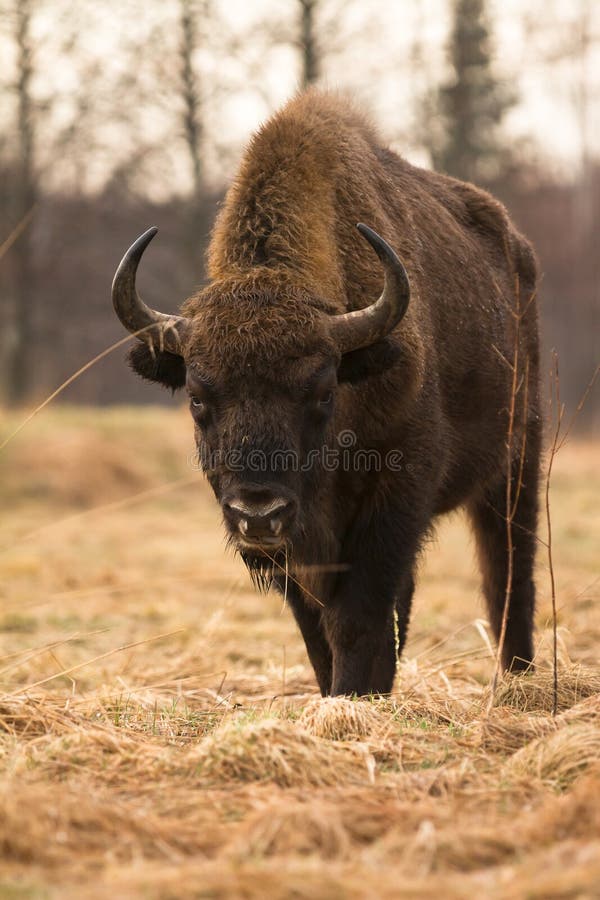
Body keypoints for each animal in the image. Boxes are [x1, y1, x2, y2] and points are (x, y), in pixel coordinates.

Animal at [110, 89, 540, 696]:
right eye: (197, 397)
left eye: (320, 392)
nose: (257, 513)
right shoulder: (298, 554)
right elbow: (318, 627)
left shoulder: (395, 497)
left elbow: (357, 616)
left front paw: (352, 697)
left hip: (518, 460)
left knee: (509, 572)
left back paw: (517, 680)